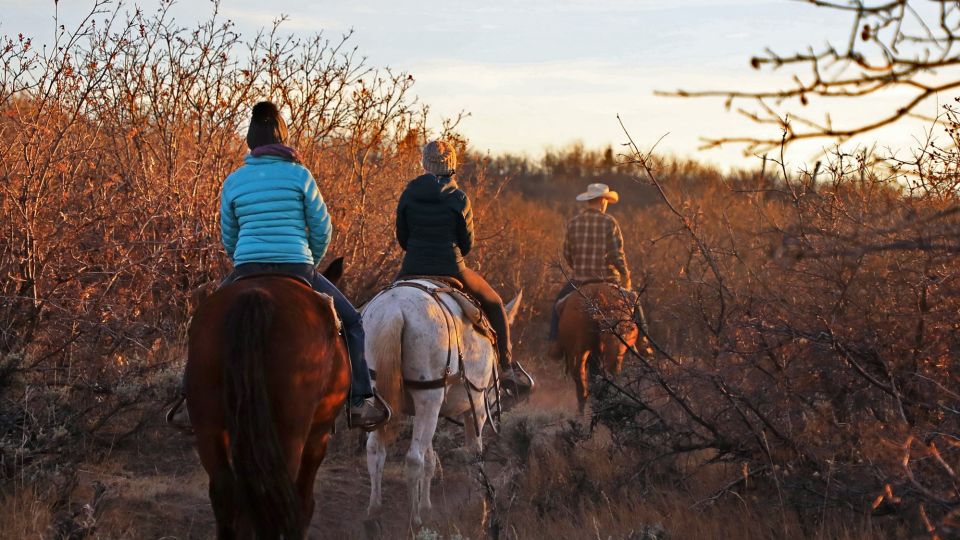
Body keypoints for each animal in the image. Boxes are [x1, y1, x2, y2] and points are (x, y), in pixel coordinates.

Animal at [184, 260, 348, 536]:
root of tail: (255, 295)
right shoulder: (318, 437)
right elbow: (305, 503)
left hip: (208, 424)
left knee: (226, 493)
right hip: (291, 433)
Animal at [362, 280, 524, 528]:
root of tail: (394, 309)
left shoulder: (425, 410)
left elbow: (430, 458)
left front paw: (427, 506)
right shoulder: (475, 409)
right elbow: (474, 455)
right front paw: (481, 508)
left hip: (381, 400)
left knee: (375, 450)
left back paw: (374, 514)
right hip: (429, 399)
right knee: (413, 458)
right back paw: (414, 520)